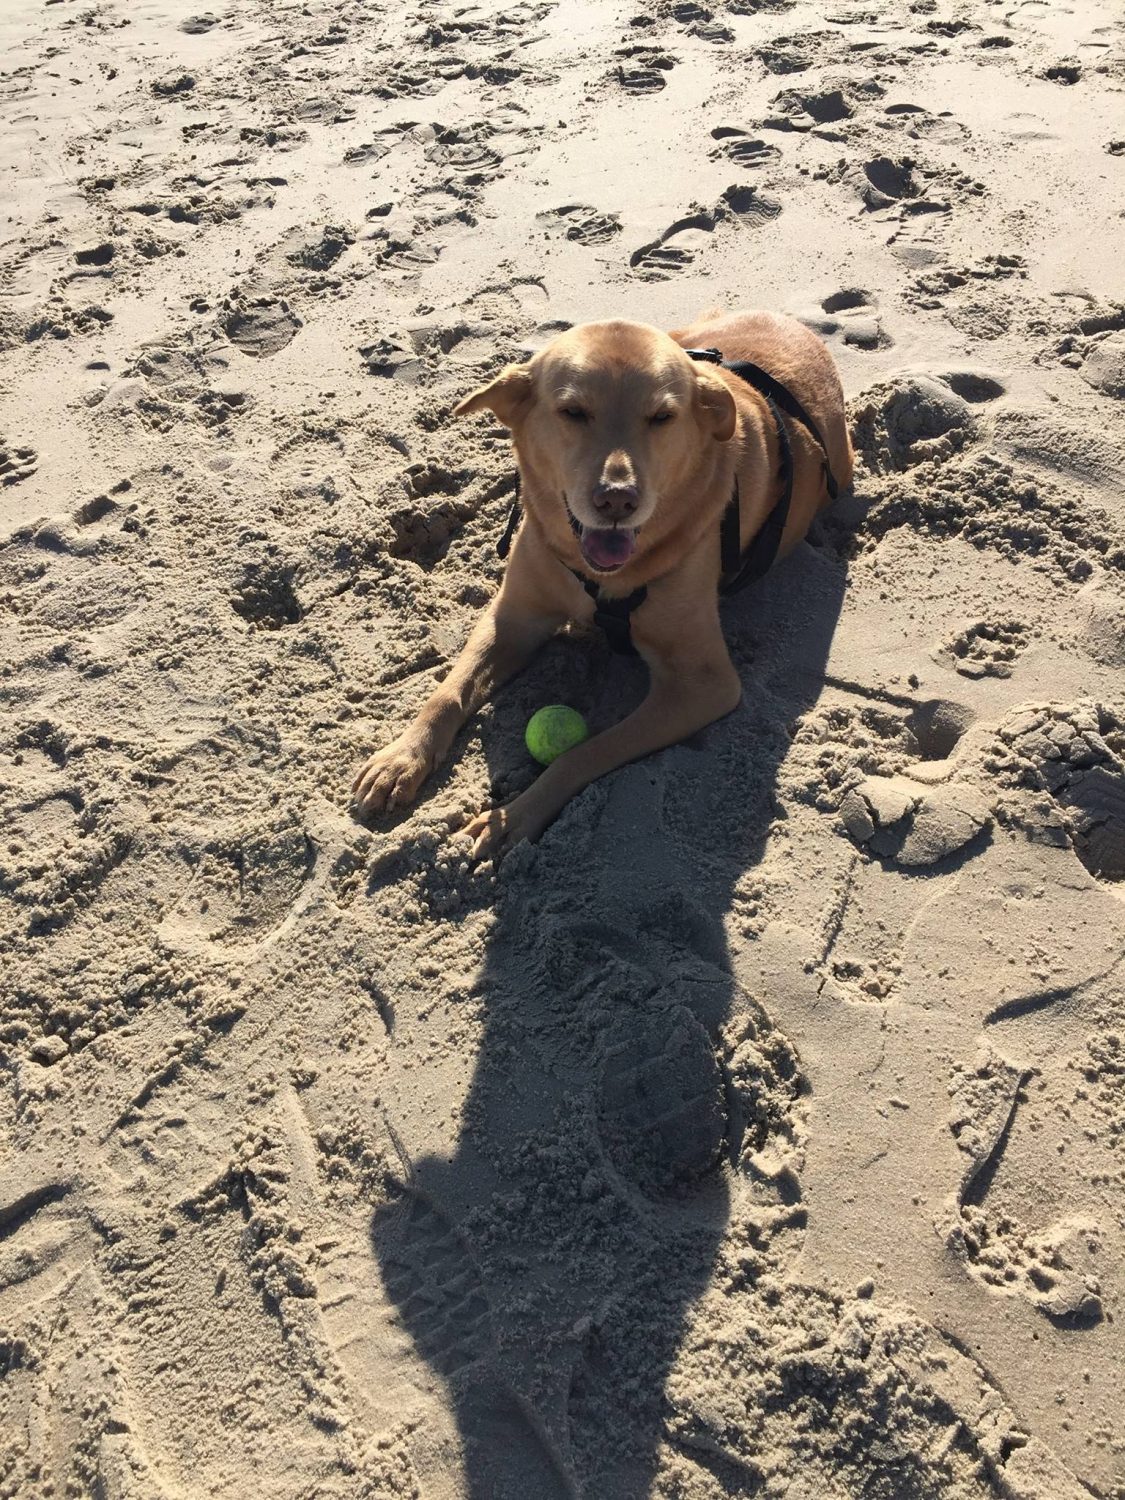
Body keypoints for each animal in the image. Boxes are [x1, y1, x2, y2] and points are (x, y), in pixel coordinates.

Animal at [352, 310, 852, 858]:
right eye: (573, 412)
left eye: (662, 417)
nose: (617, 499)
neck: (595, 575)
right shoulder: (513, 616)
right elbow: (448, 691)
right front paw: (400, 759)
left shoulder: (703, 684)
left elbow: (584, 752)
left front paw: (510, 819)